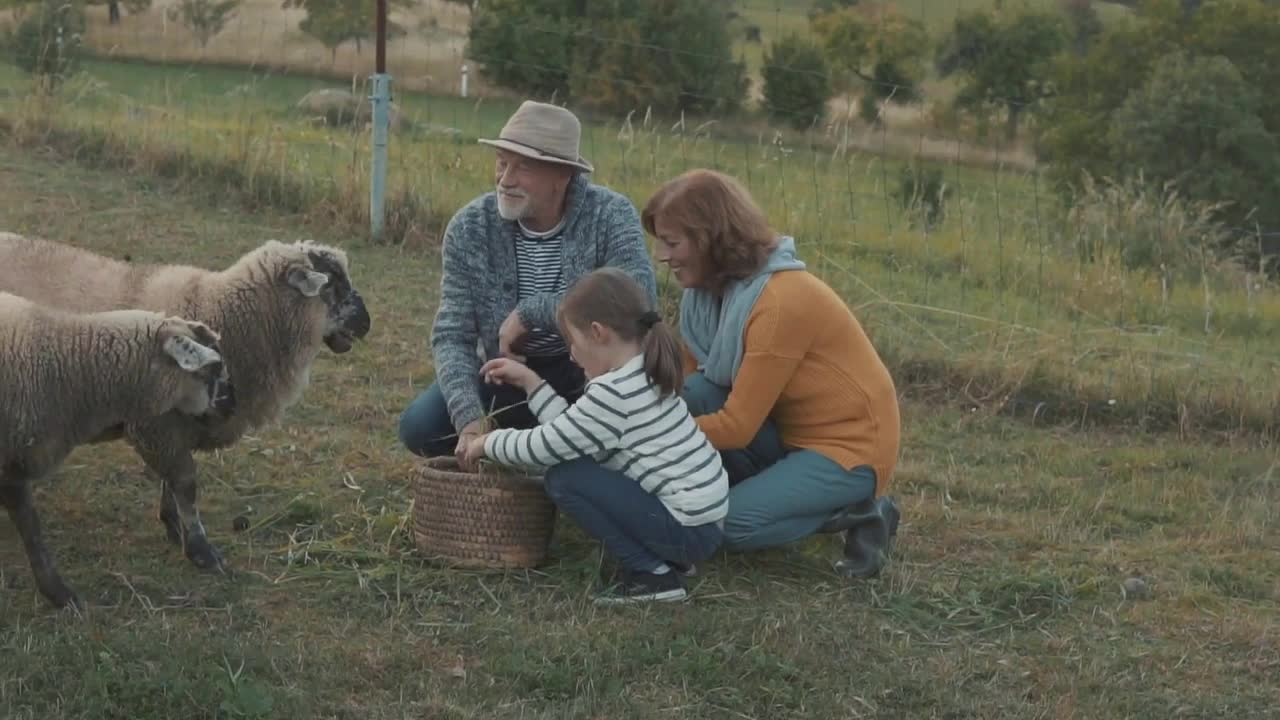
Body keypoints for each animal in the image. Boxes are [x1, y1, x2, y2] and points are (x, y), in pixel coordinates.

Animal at [0, 233, 373, 573]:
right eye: (332, 284)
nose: (367, 323)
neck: (227, 312)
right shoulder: (158, 425)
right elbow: (186, 484)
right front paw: (201, 550)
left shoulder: (179, 426)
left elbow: (173, 482)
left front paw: (172, 524)